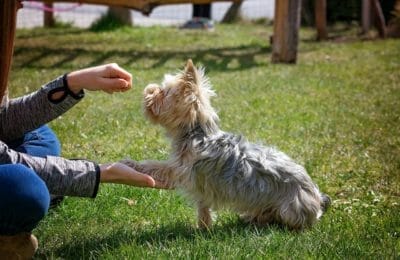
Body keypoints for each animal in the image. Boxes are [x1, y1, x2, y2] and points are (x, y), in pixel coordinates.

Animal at [123, 59, 330, 230]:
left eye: (163, 92)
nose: (149, 90)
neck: (196, 133)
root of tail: (317, 196)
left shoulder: (181, 170)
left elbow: (155, 165)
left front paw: (131, 164)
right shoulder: (200, 184)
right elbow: (203, 207)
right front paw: (203, 228)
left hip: (291, 208)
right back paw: (252, 218)